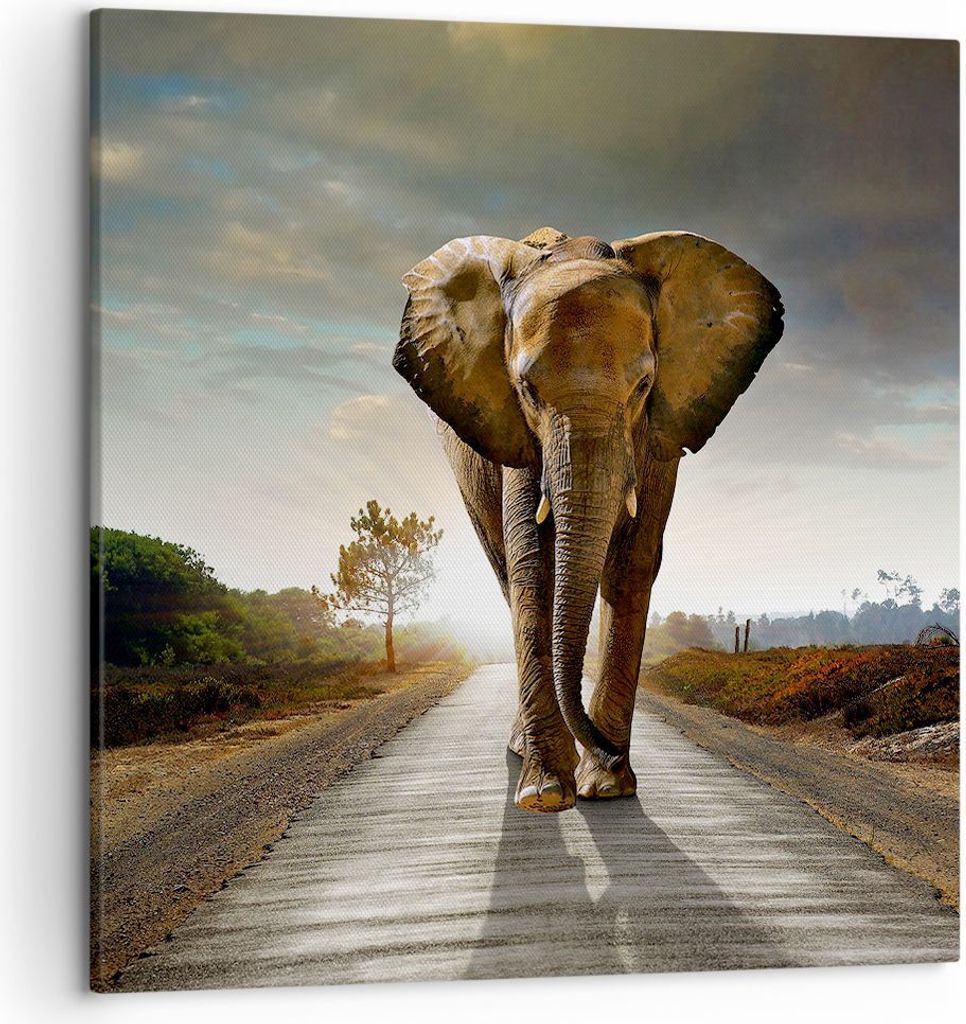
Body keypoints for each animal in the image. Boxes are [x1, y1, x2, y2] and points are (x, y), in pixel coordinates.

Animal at [393, 226, 783, 813]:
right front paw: (548, 794)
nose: (603, 750)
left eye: (644, 385)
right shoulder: (515, 432)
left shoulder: (659, 432)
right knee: (506, 573)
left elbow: (631, 564)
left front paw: (608, 787)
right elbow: (534, 566)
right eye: (527, 390)